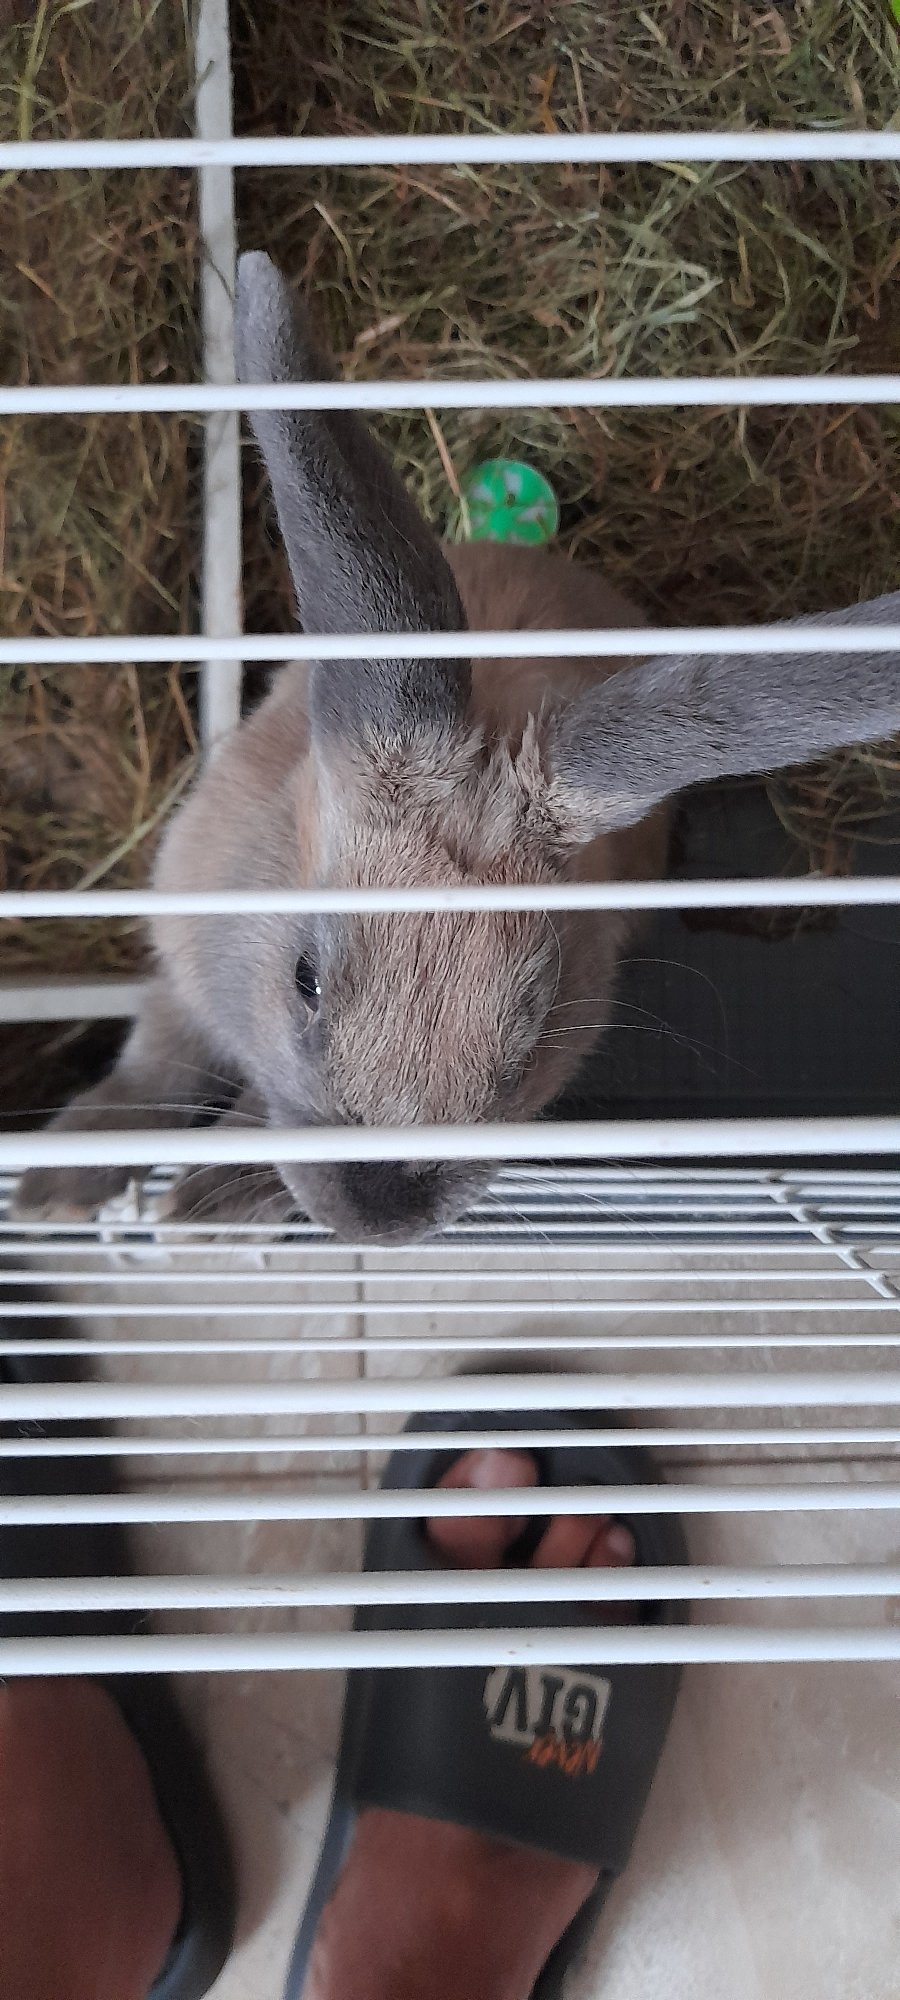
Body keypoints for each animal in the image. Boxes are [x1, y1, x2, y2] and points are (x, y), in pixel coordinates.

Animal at [15, 251, 900, 1244]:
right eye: (305, 980)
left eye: (534, 1033)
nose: (380, 1222)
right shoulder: (182, 965)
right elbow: (154, 1063)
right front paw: (58, 1190)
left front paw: (211, 1203)